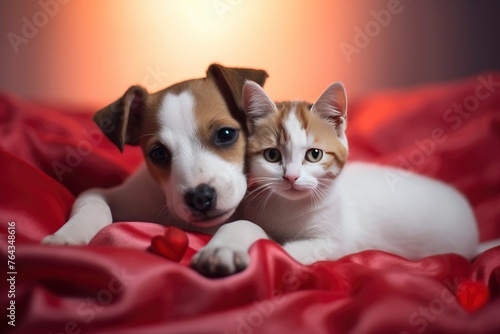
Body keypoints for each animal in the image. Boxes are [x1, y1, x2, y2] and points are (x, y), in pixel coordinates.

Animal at [42, 63, 268, 245]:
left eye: (226, 134)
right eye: (158, 153)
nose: (200, 197)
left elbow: (245, 226)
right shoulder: (104, 195)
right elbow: (94, 205)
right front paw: (68, 236)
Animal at [189, 81, 478, 276]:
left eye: (314, 154)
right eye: (272, 155)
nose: (291, 177)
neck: (288, 208)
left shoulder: (335, 244)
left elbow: (284, 249)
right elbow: (244, 225)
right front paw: (223, 246)